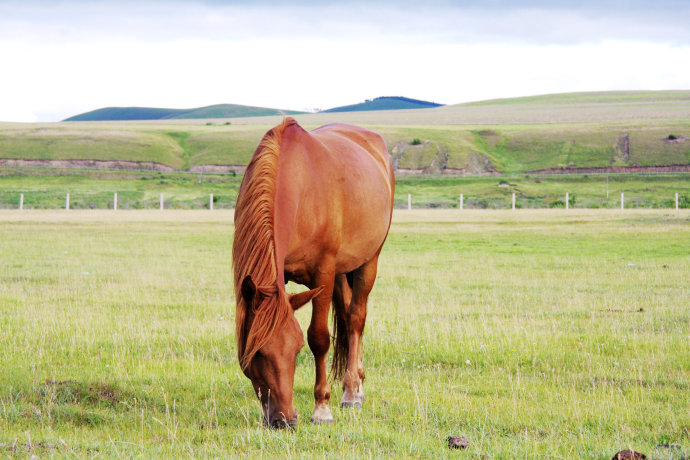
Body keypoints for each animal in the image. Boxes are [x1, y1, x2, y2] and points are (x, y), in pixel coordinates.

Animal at [231, 117, 392, 426]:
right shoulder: (279, 276)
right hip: (342, 271)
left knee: (356, 318)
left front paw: (322, 408)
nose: (285, 420)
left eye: (296, 350)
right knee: (348, 315)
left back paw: (351, 391)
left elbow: (319, 338)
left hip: (368, 261)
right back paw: (357, 384)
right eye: (257, 352)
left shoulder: (323, 274)